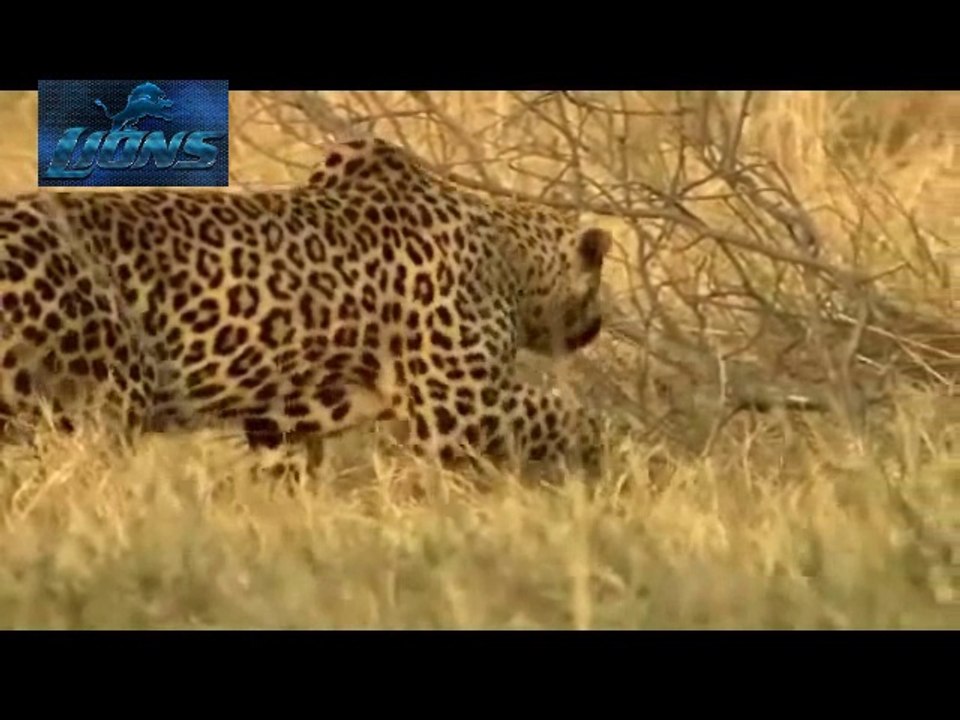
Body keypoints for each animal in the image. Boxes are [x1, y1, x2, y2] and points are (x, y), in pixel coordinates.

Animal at [0, 137, 612, 477]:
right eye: (597, 286)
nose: (598, 325)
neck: (509, 256)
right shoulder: (462, 408)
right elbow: (558, 412)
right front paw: (611, 447)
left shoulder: (285, 416)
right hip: (103, 397)